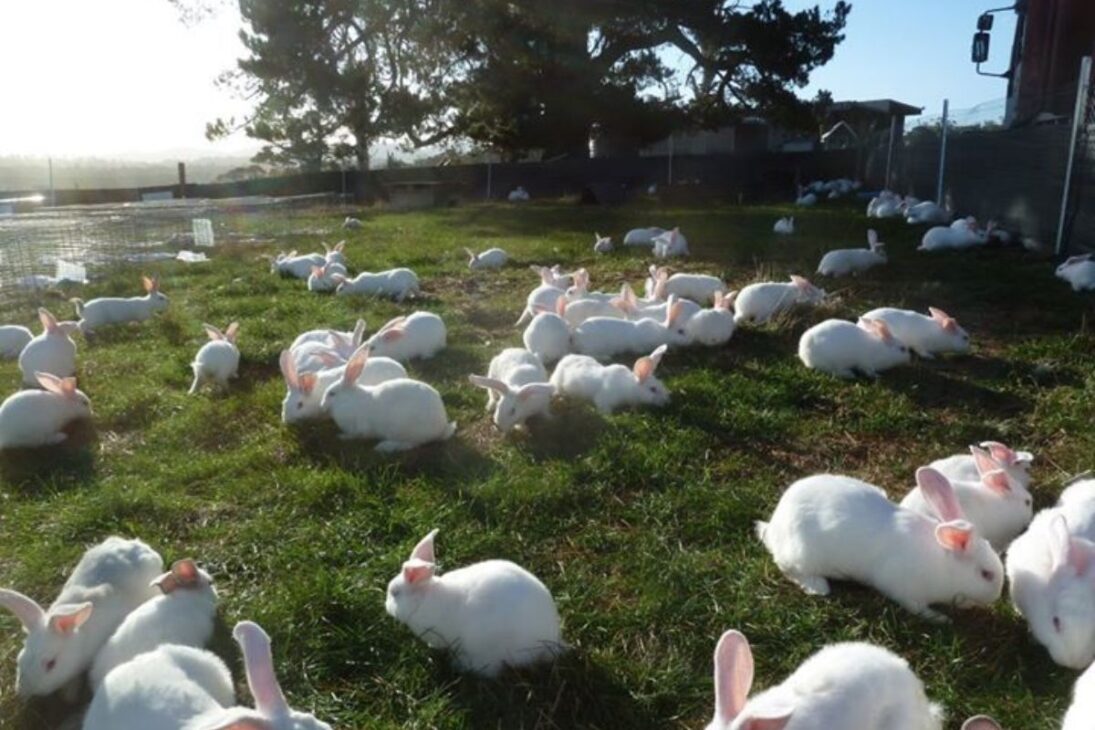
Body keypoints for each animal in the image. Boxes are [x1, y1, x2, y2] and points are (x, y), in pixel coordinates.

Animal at [0, 536, 162, 699]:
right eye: (20, 657)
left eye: (51, 664)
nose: (22, 692)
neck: (80, 639)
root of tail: (139, 545)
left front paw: (70, 695)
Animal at [320, 345, 455, 451]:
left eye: (332, 393)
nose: (322, 405)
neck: (349, 399)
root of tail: (441, 427)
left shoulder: (360, 428)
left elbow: (356, 435)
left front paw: (342, 437)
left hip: (405, 430)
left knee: (412, 444)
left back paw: (384, 446)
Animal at [756, 468, 1004, 621]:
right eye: (986, 574)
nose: (996, 595)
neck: (942, 564)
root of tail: (774, 525)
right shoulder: (904, 592)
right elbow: (918, 608)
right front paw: (941, 618)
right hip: (801, 553)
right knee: (788, 568)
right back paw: (818, 586)